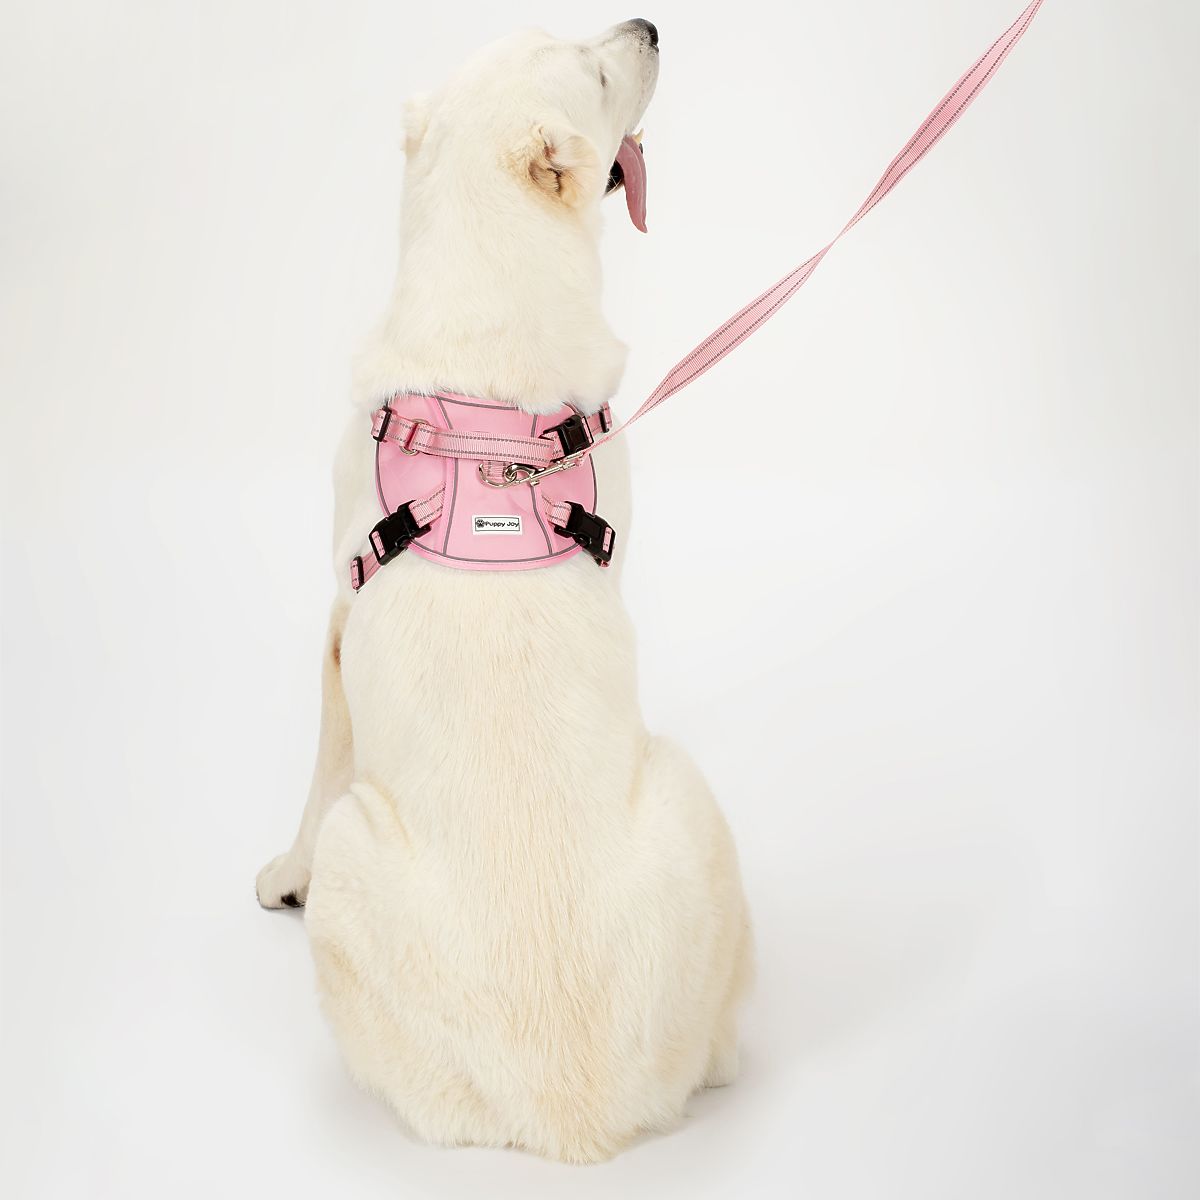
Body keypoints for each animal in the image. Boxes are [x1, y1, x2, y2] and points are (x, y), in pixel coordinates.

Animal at [256, 19, 752, 1163]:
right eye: (600, 69)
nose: (649, 25)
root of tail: (577, 1118)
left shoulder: (336, 630)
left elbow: (319, 774)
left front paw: (285, 872)